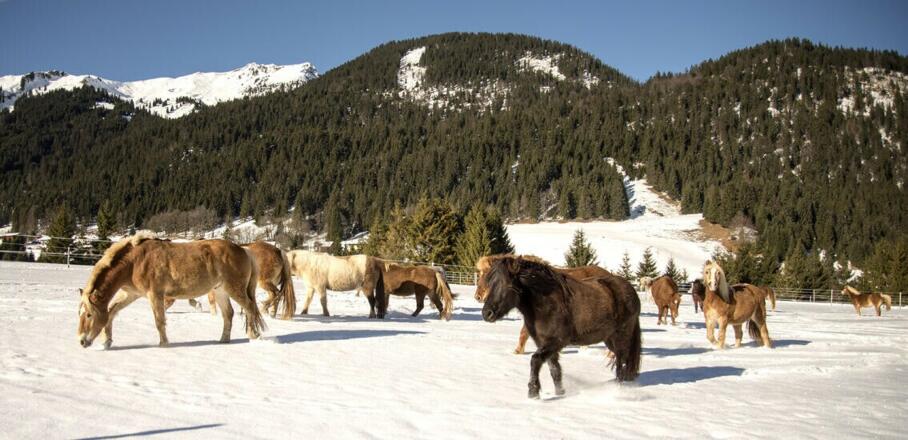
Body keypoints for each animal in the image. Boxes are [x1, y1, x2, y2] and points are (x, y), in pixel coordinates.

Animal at [77, 232, 266, 349]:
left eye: (89, 315)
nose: (81, 341)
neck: (134, 262)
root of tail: (244, 249)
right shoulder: (131, 294)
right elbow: (111, 311)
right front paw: (106, 342)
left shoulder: (155, 295)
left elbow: (159, 321)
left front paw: (164, 344)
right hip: (220, 291)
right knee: (229, 314)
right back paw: (223, 340)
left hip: (234, 289)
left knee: (249, 308)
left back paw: (253, 336)